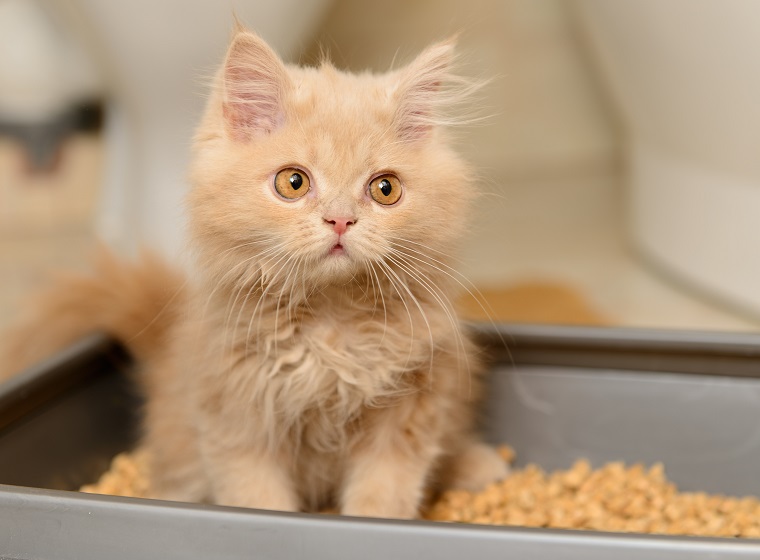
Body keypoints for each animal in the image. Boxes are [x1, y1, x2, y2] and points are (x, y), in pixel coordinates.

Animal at [4, 28, 510, 520]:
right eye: (293, 182)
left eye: (385, 189)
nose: (341, 220)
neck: (330, 324)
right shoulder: (237, 421)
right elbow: (258, 500)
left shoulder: (409, 412)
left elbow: (382, 499)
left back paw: (480, 465)